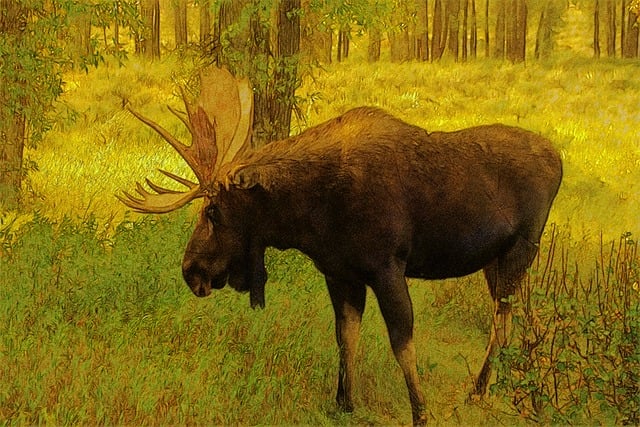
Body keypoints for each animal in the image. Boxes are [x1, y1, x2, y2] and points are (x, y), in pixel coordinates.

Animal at [119, 66, 562, 425]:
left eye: (213, 211)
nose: (190, 270)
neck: (309, 215)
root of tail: (559, 159)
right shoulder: (339, 273)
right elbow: (345, 336)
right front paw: (343, 402)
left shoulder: (387, 266)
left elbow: (402, 340)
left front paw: (420, 411)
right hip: (497, 260)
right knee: (517, 316)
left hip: (521, 249)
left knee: (502, 319)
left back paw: (484, 389)